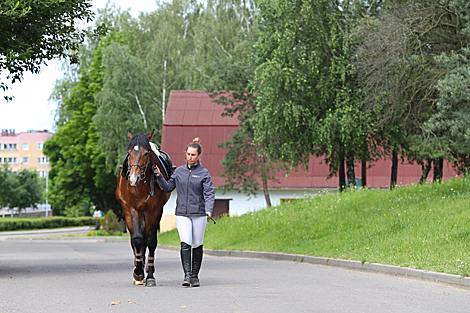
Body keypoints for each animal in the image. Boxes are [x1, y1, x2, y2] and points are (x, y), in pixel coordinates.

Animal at [117, 129, 172, 286]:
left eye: (146, 153)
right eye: (129, 153)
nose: (133, 179)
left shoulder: (155, 210)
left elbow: (151, 241)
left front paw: (150, 275)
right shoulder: (133, 209)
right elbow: (137, 239)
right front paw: (138, 272)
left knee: (146, 237)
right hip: (128, 211)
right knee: (134, 239)